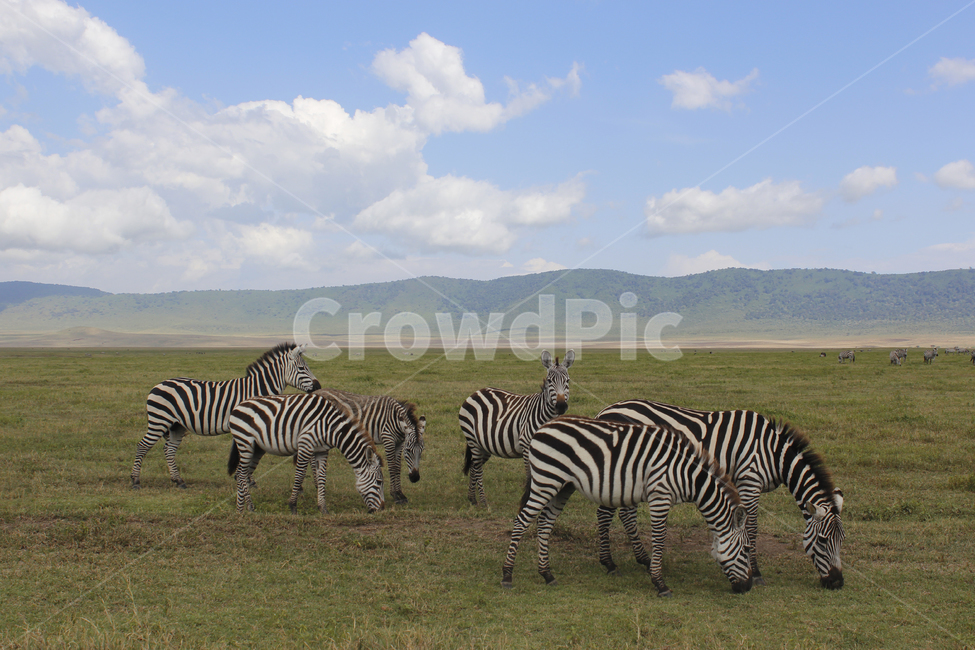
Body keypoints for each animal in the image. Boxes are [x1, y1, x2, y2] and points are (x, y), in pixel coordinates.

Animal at [131, 342, 321, 489]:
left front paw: (245, 479)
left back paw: (178, 481)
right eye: (302, 368)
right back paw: (135, 481)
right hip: (159, 420)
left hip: (177, 425)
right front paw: (247, 480)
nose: (318, 386)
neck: (257, 390)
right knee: (142, 446)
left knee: (169, 450)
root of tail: (158, 384)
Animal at [227, 393, 385, 514]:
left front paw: (323, 509)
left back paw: (243, 509)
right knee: (241, 473)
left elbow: (322, 478)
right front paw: (293, 506)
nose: (382, 509)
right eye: (379, 482)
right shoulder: (305, 444)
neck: (330, 427)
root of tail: (239, 405)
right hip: (245, 442)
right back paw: (246, 508)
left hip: (257, 448)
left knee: (242, 473)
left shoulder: (322, 451)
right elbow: (300, 476)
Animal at [460, 350, 575, 507]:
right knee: (478, 470)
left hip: (484, 445)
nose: (561, 406)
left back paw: (472, 499)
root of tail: (477, 392)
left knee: (473, 466)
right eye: (550, 381)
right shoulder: (526, 446)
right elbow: (530, 477)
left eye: (567, 381)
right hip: (472, 440)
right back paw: (483, 502)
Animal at [501, 415, 752, 596]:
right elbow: (659, 537)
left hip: (562, 486)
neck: (687, 474)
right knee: (522, 521)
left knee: (545, 523)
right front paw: (660, 583)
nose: (748, 587)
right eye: (747, 550)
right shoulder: (660, 495)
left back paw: (547, 574)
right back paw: (507, 574)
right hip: (546, 480)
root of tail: (543, 427)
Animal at [596, 399, 845, 590]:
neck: (774, 453)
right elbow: (751, 528)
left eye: (841, 540)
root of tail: (605, 410)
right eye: (822, 541)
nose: (837, 583)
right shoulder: (749, 481)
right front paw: (756, 572)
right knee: (605, 513)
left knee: (625, 514)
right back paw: (609, 563)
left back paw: (643, 559)